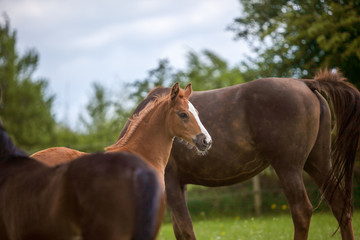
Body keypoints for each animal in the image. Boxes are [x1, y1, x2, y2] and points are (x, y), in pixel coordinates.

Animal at [119, 68, 360, 239]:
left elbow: (186, 229)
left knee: (302, 212)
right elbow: (181, 231)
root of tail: (305, 83)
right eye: (185, 114)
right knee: (340, 206)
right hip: (318, 163)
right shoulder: (180, 184)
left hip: (288, 168)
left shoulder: (170, 183)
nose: (205, 141)